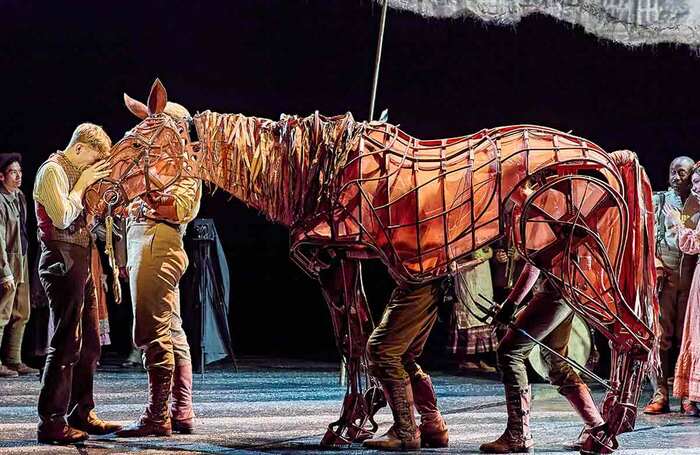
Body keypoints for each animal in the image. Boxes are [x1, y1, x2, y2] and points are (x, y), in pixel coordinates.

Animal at [85, 80, 660, 454]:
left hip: (579, 263)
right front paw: (374, 420)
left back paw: (609, 432)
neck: (313, 170)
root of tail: (609, 157)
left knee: (635, 337)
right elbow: (367, 341)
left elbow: (353, 342)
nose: (94, 196)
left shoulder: (331, 260)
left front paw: (348, 425)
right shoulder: (352, 261)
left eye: (143, 144)